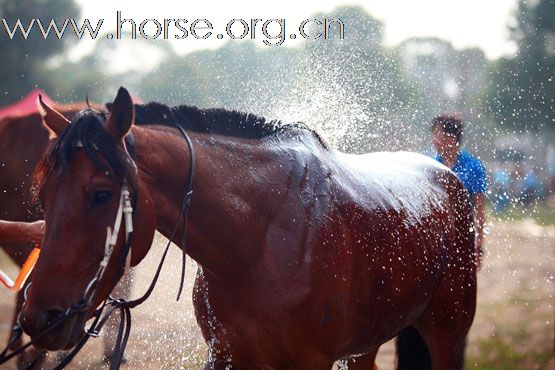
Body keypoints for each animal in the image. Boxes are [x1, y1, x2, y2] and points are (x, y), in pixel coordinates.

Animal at [20, 88, 478, 368]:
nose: (40, 318)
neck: (261, 240)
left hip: (448, 330)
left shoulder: (311, 360)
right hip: (367, 344)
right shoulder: (227, 354)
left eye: (100, 194)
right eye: (43, 195)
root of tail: (446, 175)